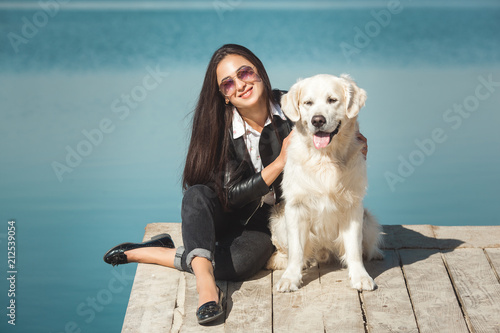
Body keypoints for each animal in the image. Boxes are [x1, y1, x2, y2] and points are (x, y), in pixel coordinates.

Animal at [266, 74, 382, 290]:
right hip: (278, 221)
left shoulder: (353, 206)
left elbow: (354, 248)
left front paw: (360, 276)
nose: (317, 120)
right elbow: (296, 250)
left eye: (332, 100)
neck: (325, 158)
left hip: (368, 221)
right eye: (308, 103)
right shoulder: (295, 206)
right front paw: (290, 278)